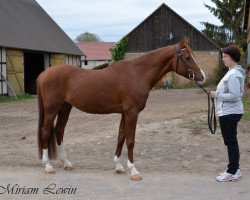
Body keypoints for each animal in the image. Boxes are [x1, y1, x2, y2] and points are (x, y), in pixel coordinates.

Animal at [36, 36, 205, 181]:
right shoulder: (132, 112)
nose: (202, 77)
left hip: (65, 107)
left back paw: (66, 163)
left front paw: (118, 166)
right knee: (45, 132)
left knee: (59, 131)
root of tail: (44, 73)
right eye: (188, 57)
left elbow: (120, 138)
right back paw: (48, 166)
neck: (137, 74)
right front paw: (134, 171)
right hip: (52, 109)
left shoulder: (125, 113)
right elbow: (130, 140)